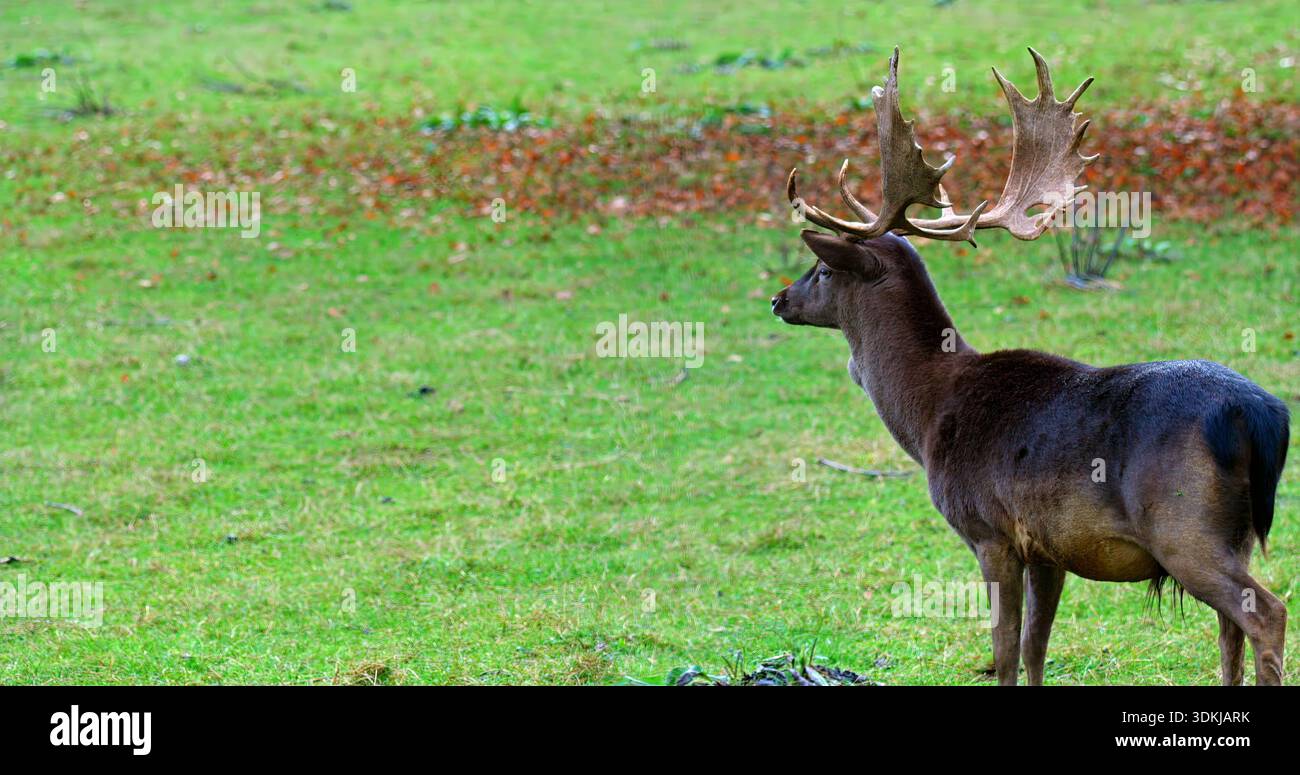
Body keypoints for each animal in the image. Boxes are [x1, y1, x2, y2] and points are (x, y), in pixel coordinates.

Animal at [771, 48, 1290, 685]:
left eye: (822, 270)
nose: (779, 299)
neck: (929, 413)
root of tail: (1262, 416)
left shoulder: (989, 530)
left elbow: (1003, 650)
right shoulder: (1049, 548)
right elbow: (1035, 647)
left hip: (1183, 525)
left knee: (1266, 612)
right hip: (1233, 532)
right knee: (1229, 629)